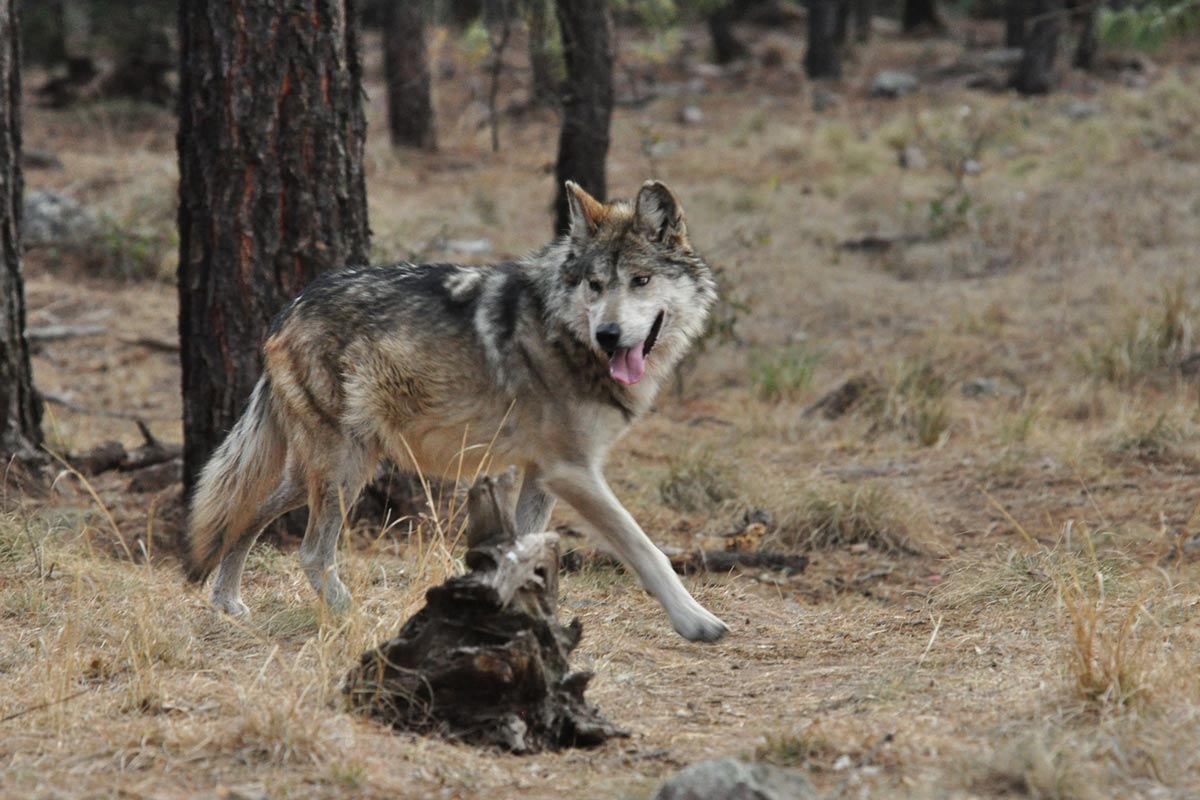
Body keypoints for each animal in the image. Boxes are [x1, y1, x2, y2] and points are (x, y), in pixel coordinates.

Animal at [185, 180, 728, 642]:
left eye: (641, 280)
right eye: (595, 285)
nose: (609, 335)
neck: (562, 334)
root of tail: (288, 307)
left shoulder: (542, 473)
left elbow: (524, 553)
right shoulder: (572, 471)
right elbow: (645, 548)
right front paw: (697, 621)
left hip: (320, 473)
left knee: (245, 513)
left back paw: (226, 601)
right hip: (345, 469)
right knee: (313, 552)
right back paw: (355, 619)